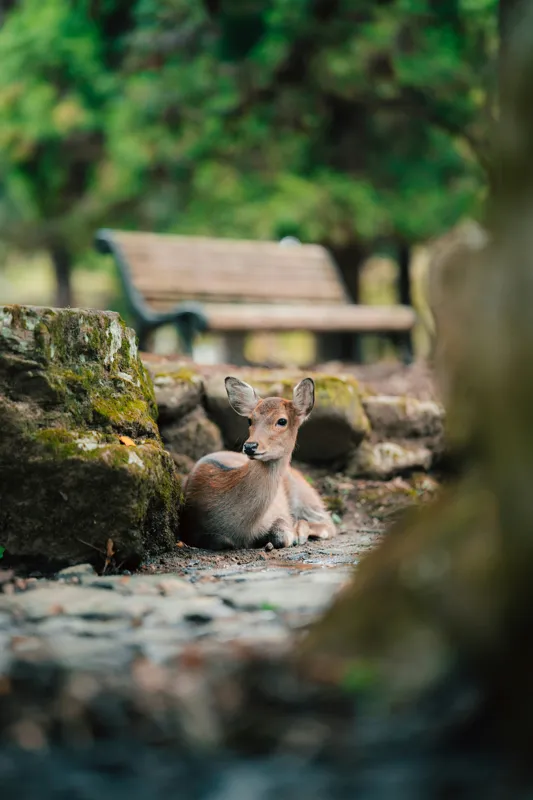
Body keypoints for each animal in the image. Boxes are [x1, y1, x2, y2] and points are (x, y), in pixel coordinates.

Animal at [179, 376, 336, 550]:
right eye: (250, 420)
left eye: (282, 421)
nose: (250, 446)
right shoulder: (191, 528)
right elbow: (222, 541)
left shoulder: (279, 512)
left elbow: (284, 537)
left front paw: (290, 535)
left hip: (305, 494)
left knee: (328, 523)